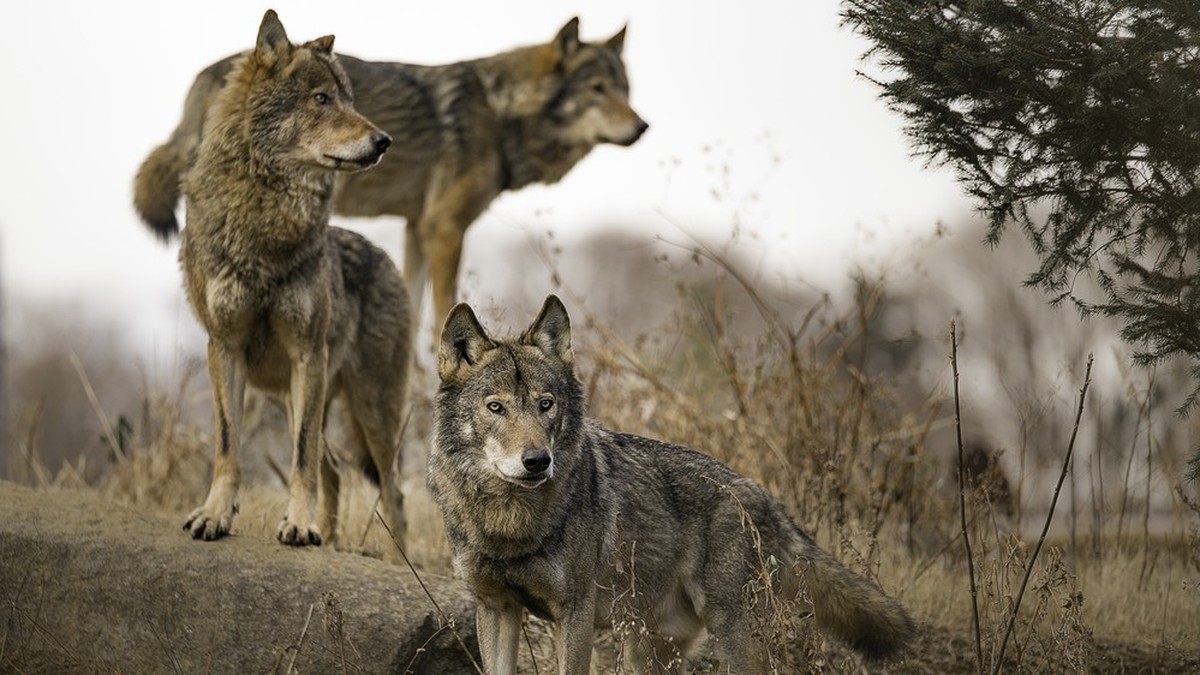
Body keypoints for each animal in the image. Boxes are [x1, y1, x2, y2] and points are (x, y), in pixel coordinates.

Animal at [134, 17, 648, 331]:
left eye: (625, 89)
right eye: (597, 90)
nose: (642, 127)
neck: (501, 112)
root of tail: (203, 79)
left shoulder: (416, 227)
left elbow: (414, 307)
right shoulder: (445, 228)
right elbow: (442, 310)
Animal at [178, 10, 411, 551]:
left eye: (350, 100)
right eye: (321, 99)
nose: (384, 141)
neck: (266, 220)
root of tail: (386, 258)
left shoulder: (308, 353)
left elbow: (300, 457)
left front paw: (299, 523)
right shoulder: (224, 347)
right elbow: (228, 444)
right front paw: (216, 514)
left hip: (370, 410)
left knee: (391, 490)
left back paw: (391, 558)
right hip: (297, 397)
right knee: (335, 471)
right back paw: (331, 540)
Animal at [428, 296, 916, 674]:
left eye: (545, 405)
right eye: (496, 407)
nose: (536, 461)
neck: (508, 523)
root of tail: (766, 499)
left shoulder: (575, 614)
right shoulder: (496, 609)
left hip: (729, 631)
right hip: (649, 649)